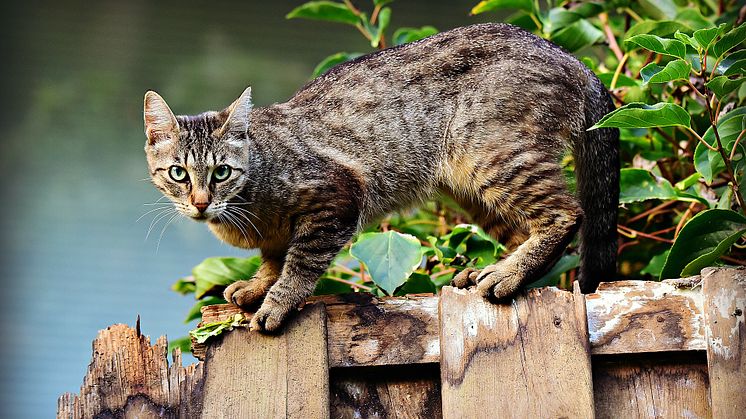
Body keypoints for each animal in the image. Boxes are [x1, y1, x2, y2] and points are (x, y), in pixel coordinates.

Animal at [141, 23, 616, 334]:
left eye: (221, 172)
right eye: (179, 173)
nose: (200, 202)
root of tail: (572, 58)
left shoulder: (337, 198)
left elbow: (299, 263)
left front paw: (278, 301)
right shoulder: (276, 235)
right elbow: (273, 258)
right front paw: (259, 285)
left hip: (491, 155)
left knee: (566, 214)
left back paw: (507, 274)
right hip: (468, 185)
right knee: (521, 229)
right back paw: (492, 269)